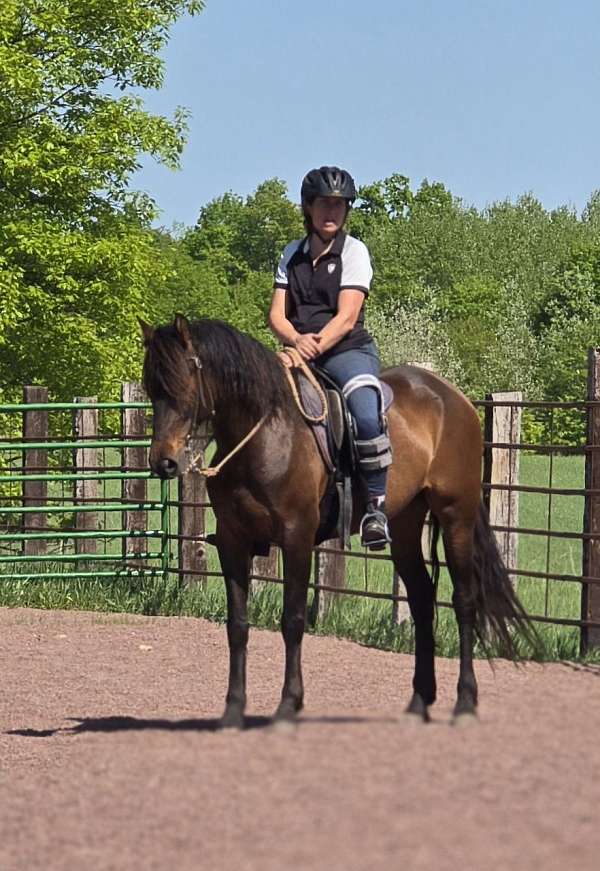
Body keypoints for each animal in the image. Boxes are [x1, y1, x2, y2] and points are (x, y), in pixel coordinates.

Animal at [140, 314, 533, 728]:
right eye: (151, 388)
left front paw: (288, 706)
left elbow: (293, 620)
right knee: (422, 599)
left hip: (457, 516)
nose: (163, 462)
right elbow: (238, 626)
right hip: (406, 527)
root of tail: (453, 397)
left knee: (464, 602)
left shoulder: (296, 538)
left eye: (182, 383)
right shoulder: (234, 543)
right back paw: (418, 703)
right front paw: (233, 710)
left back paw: (465, 703)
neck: (267, 434)